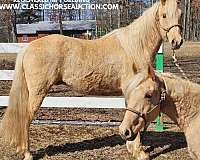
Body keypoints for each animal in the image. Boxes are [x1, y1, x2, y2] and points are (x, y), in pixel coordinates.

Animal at [0, 0, 181, 159]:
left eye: (180, 14)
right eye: (164, 15)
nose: (176, 41)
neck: (134, 47)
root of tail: (28, 47)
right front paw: (139, 152)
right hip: (38, 92)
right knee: (26, 119)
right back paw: (27, 154)